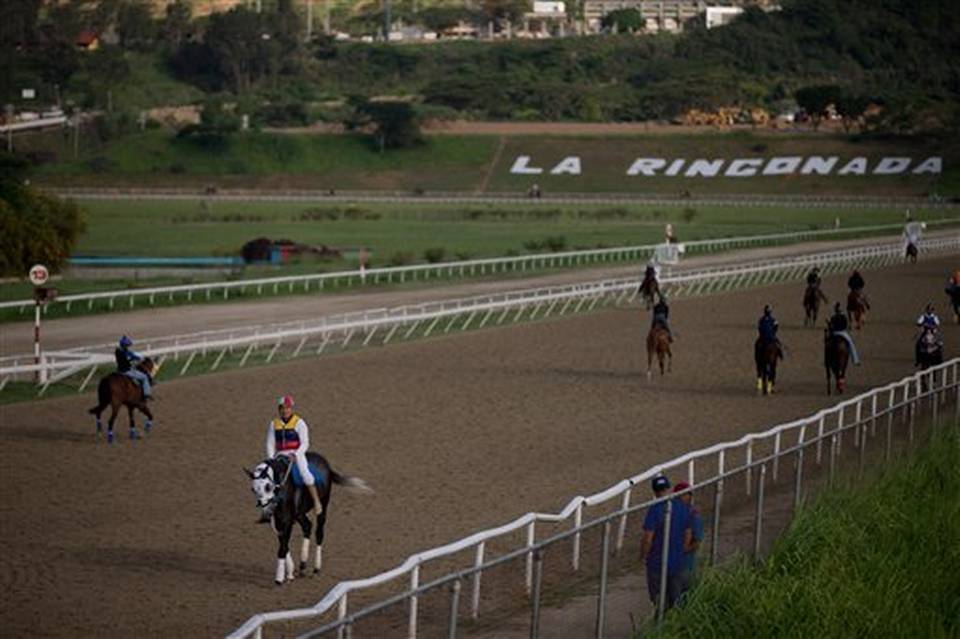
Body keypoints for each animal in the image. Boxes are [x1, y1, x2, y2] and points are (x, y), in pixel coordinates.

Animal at [244, 450, 372, 584]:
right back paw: (303, 564)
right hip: (300, 514)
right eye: (253, 489)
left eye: (268, 486)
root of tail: (326, 464)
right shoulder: (277, 521)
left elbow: (283, 547)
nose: (265, 510)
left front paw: (279, 578)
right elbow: (284, 543)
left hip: (323, 505)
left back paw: (316, 567)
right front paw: (290, 572)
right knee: (307, 526)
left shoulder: (287, 521)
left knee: (319, 532)